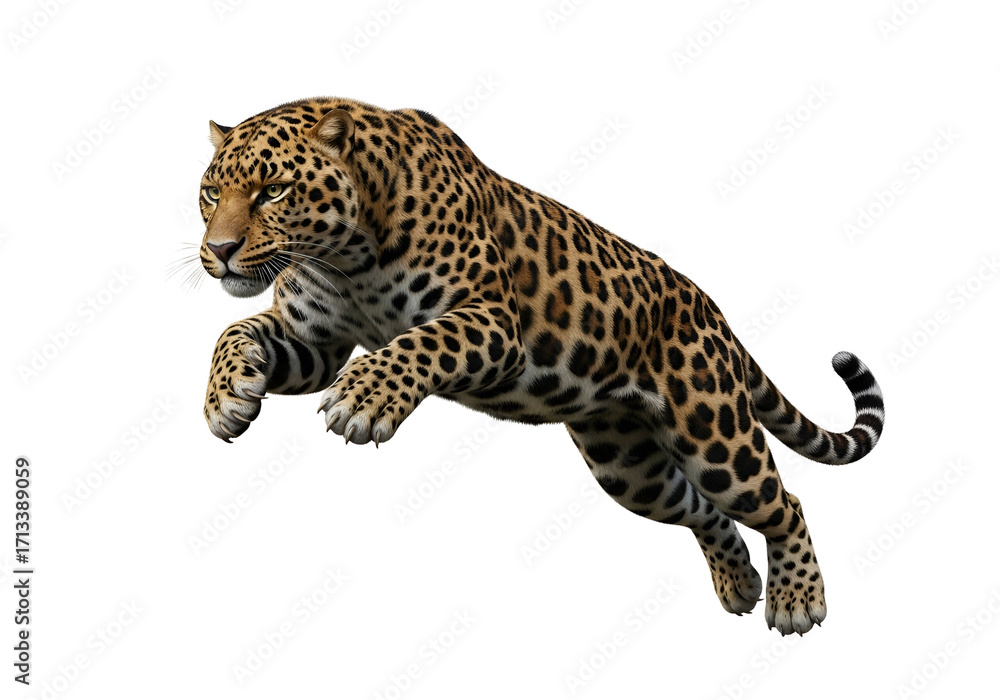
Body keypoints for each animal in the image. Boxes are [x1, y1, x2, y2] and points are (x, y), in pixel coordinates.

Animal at [196, 96, 885, 635]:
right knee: (704, 509)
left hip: (713, 432)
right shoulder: (314, 339)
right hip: (627, 465)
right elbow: (234, 330)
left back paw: (797, 602)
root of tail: (708, 306)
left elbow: (421, 343)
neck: (344, 258)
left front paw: (364, 398)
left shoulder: (493, 321)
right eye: (210, 193)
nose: (219, 251)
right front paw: (228, 399)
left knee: (782, 501)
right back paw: (739, 583)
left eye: (274, 190)